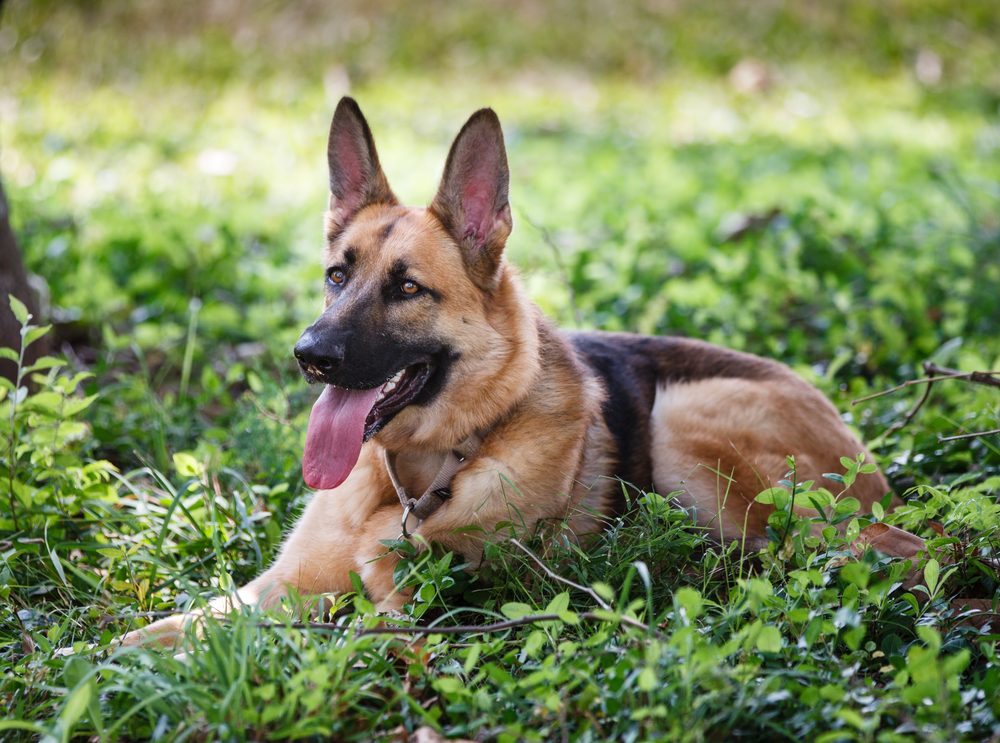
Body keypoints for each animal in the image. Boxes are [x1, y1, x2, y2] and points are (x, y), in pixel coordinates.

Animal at [123, 99, 920, 644]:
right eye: (336, 276)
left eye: (407, 289)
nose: (310, 355)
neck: (420, 471)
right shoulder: (278, 585)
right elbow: (160, 632)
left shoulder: (410, 610)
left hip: (687, 422)